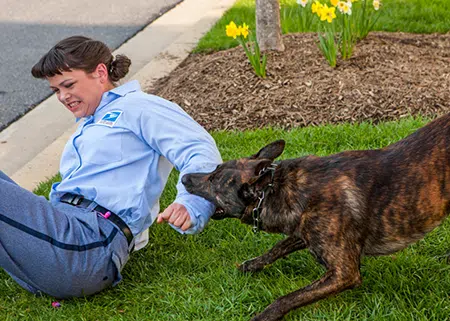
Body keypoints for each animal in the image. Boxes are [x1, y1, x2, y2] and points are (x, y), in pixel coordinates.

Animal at [181, 112, 450, 320]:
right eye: (214, 170)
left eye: (214, 180)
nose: (184, 178)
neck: (280, 189)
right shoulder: (303, 230)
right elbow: (278, 247)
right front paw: (252, 265)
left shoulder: (344, 272)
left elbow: (288, 298)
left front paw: (264, 315)